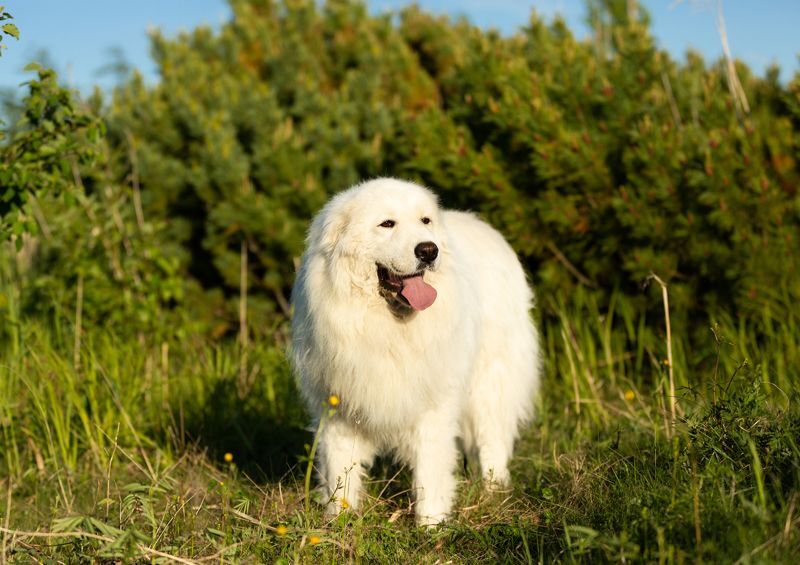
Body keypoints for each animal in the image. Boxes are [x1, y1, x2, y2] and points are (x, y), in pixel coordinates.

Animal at [290, 176, 540, 524]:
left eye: (425, 221)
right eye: (387, 224)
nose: (428, 250)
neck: (388, 327)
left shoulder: (433, 404)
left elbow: (430, 470)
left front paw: (431, 526)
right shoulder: (339, 406)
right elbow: (341, 473)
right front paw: (339, 523)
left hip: (491, 381)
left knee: (493, 440)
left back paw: (494, 491)